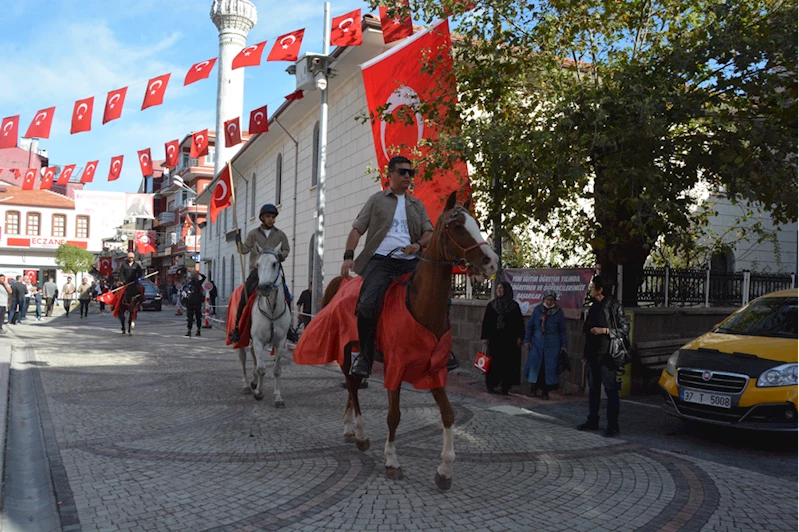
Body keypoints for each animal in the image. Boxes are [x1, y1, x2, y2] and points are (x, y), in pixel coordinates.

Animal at [236, 244, 292, 408]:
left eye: (274, 263)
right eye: (258, 264)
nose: (263, 287)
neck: (272, 309)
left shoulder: (280, 342)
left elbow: (277, 370)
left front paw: (278, 397)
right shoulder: (258, 340)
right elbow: (261, 368)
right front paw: (259, 393)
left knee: (253, 357)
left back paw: (254, 381)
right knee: (243, 358)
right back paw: (247, 385)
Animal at [304, 192, 496, 490]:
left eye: (476, 223)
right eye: (456, 226)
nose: (491, 260)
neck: (420, 305)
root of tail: (342, 282)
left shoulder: (435, 370)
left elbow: (449, 415)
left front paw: (445, 470)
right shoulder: (394, 368)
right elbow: (393, 416)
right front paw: (392, 460)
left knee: (352, 385)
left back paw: (349, 429)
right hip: (345, 350)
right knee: (352, 384)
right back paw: (360, 433)